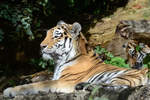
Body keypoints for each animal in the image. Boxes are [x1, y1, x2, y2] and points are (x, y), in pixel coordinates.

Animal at [3, 20, 149, 97]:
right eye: (47, 34)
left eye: (56, 36)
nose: (41, 46)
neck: (58, 61)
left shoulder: (64, 81)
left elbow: (37, 85)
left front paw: (9, 90)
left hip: (123, 76)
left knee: (114, 87)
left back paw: (84, 87)